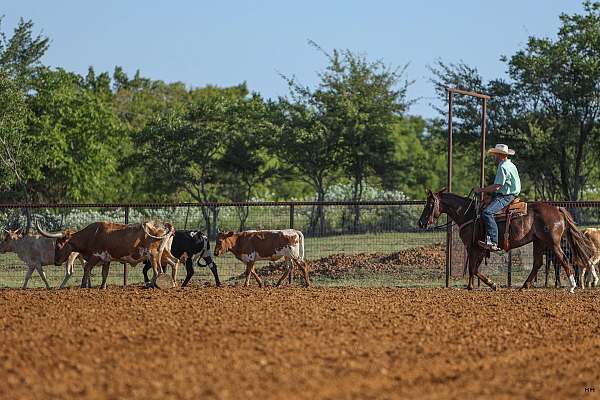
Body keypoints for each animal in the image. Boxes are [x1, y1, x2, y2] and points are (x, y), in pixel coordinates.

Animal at [37, 222, 177, 288]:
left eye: (58, 246)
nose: (56, 262)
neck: (92, 235)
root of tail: (164, 225)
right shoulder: (106, 259)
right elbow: (104, 273)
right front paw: (102, 287)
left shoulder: (95, 256)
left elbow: (86, 268)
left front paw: (83, 286)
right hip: (164, 253)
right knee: (174, 262)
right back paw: (173, 283)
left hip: (153, 254)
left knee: (157, 270)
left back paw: (152, 285)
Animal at [418, 189, 596, 292]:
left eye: (430, 204)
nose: (421, 223)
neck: (469, 214)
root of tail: (557, 209)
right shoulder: (476, 248)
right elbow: (473, 268)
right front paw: (470, 286)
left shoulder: (477, 247)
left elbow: (473, 268)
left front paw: (491, 284)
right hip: (539, 242)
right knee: (538, 263)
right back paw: (524, 286)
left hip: (552, 243)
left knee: (564, 260)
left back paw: (572, 286)